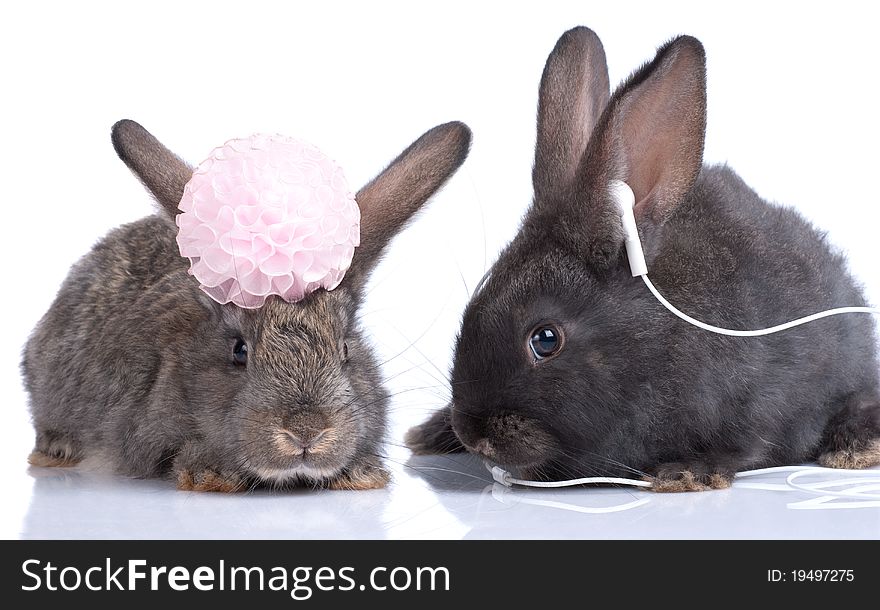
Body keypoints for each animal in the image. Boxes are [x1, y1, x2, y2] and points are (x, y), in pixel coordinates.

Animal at [408, 27, 880, 490]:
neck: (655, 343)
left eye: (545, 339)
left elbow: (745, 448)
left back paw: (856, 447)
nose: (473, 434)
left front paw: (687, 473)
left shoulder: (762, 403)